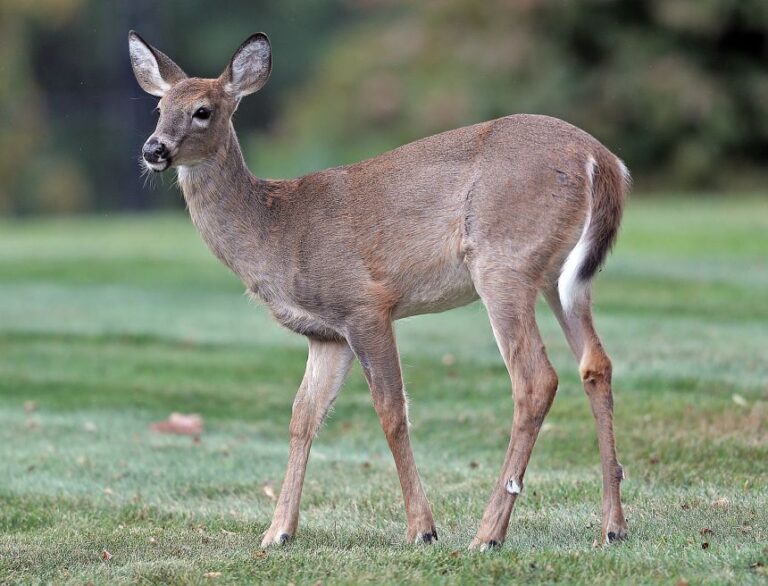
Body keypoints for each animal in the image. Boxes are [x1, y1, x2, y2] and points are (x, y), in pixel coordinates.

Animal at [129, 30, 629, 550]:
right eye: (159, 106)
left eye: (203, 110)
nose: (153, 149)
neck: (278, 230)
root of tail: (600, 159)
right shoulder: (326, 334)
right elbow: (302, 417)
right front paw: (277, 532)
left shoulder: (364, 304)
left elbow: (391, 412)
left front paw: (422, 529)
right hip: (560, 277)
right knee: (595, 364)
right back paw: (612, 526)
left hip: (501, 260)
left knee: (535, 379)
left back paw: (487, 533)